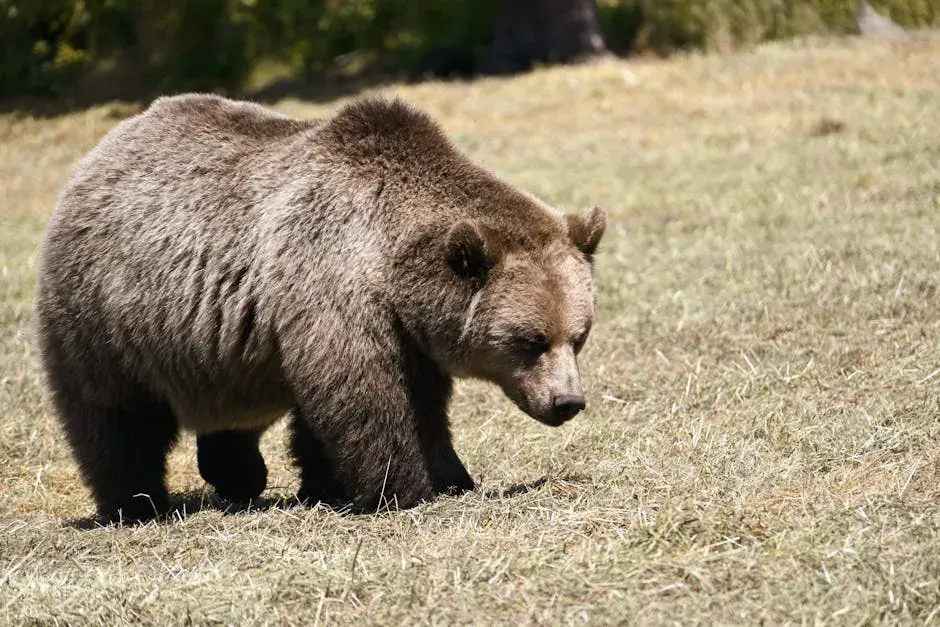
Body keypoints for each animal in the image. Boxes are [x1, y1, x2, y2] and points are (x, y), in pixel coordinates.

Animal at [35, 94, 606, 523]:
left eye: (578, 336)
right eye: (531, 341)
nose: (567, 402)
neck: (391, 265)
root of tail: (102, 150)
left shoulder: (407, 331)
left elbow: (415, 403)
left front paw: (448, 477)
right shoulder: (333, 284)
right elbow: (367, 397)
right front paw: (405, 488)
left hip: (219, 349)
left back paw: (238, 475)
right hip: (105, 313)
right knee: (114, 416)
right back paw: (135, 502)